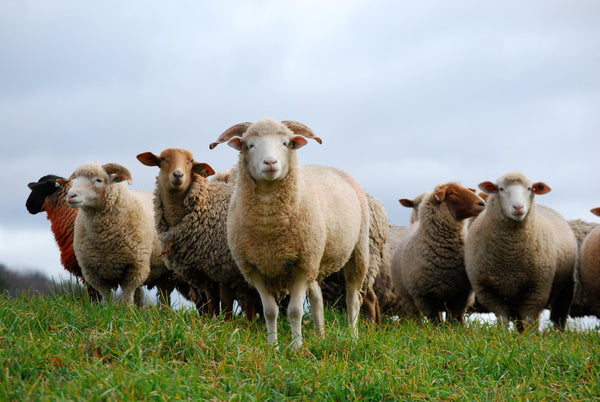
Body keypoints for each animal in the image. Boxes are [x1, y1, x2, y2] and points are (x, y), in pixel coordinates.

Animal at [59, 162, 166, 306]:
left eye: (98, 180)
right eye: (77, 179)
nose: (71, 196)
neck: (105, 240)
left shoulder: (136, 267)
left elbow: (127, 296)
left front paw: (127, 311)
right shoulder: (91, 271)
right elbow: (106, 297)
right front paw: (106, 309)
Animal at [137, 146, 262, 318]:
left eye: (190, 161)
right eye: (162, 159)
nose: (178, 175)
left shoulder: (225, 270)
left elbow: (226, 306)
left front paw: (226, 324)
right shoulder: (205, 273)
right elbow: (212, 304)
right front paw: (214, 322)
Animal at [211, 117, 370, 348]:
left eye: (286, 143)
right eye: (250, 145)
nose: (270, 163)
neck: (269, 228)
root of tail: (331, 168)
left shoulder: (302, 267)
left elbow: (294, 311)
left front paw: (296, 347)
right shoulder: (255, 269)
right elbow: (269, 311)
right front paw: (273, 346)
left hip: (357, 252)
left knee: (352, 298)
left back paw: (353, 336)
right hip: (316, 257)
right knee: (317, 298)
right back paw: (321, 336)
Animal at [392, 182, 486, 324]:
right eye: (451, 193)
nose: (482, 203)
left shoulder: (460, 295)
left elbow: (454, 321)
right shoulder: (425, 298)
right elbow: (436, 323)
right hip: (412, 300)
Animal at [464, 171, 576, 332]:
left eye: (530, 188)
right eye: (501, 189)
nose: (518, 207)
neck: (511, 255)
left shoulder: (537, 288)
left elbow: (528, 319)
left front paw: (529, 337)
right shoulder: (487, 290)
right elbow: (502, 319)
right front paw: (503, 334)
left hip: (565, 289)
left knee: (558, 316)